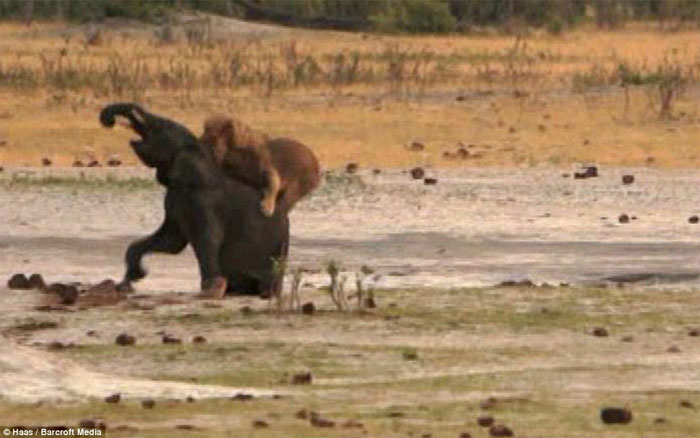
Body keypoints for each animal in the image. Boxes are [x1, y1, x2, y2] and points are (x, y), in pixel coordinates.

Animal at [99, 102, 289, 298]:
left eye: (162, 127)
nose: (110, 120)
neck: (197, 151)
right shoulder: (174, 200)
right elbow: (171, 241)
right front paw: (129, 281)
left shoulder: (204, 200)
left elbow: (208, 239)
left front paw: (211, 290)